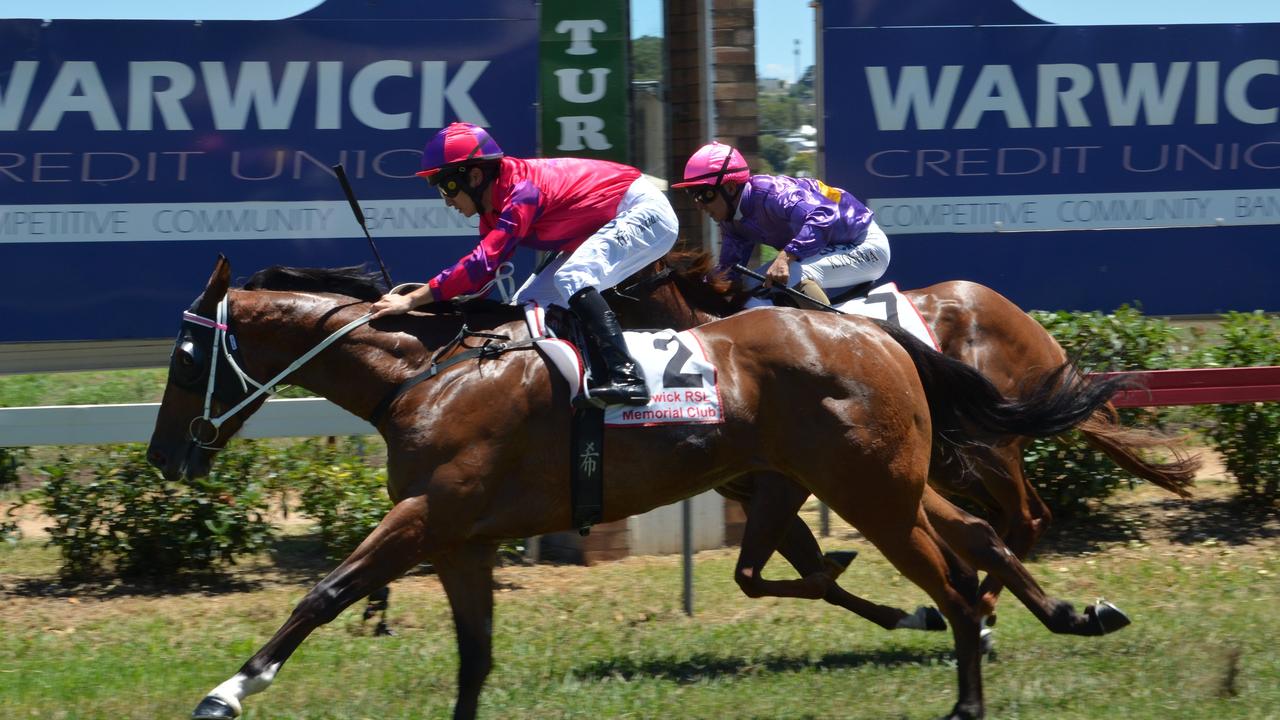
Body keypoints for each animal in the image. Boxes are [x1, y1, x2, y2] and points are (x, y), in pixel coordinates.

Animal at [145, 257, 1136, 717]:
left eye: (188, 355)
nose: (163, 457)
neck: (424, 376)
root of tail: (876, 334)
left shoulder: (427, 516)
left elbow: (324, 593)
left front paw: (229, 689)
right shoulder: (463, 539)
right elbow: (474, 659)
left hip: (873, 490)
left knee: (963, 579)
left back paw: (968, 672)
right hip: (880, 480)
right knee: (982, 542)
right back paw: (1072, 613)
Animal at [604, 249, 1192, 625]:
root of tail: (1029, 324)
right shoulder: (764, 489)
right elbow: (796, 569)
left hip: (987, 449)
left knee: (1025, 517)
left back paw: (988, 603)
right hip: (956, 465)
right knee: (1014, 519)